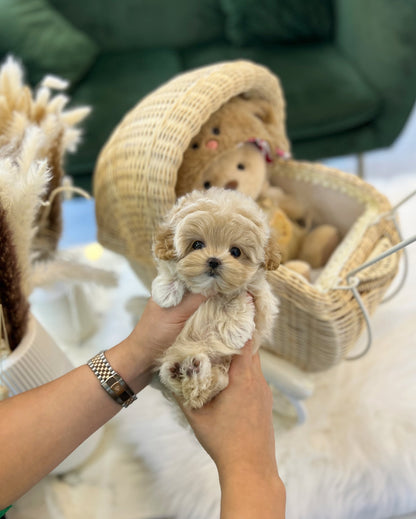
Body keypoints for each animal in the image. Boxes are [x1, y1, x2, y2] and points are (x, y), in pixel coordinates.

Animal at [150, 188, 280, 410]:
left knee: (210, 388)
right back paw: (182, 374)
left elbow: (239, 296)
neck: (211, 290)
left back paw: (193, 375)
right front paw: (167, 290)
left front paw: (235, 329)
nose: (213, 261)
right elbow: (169, 270)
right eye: (197, 244)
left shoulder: (260, 299)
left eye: (235, 251)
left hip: (221, 368)